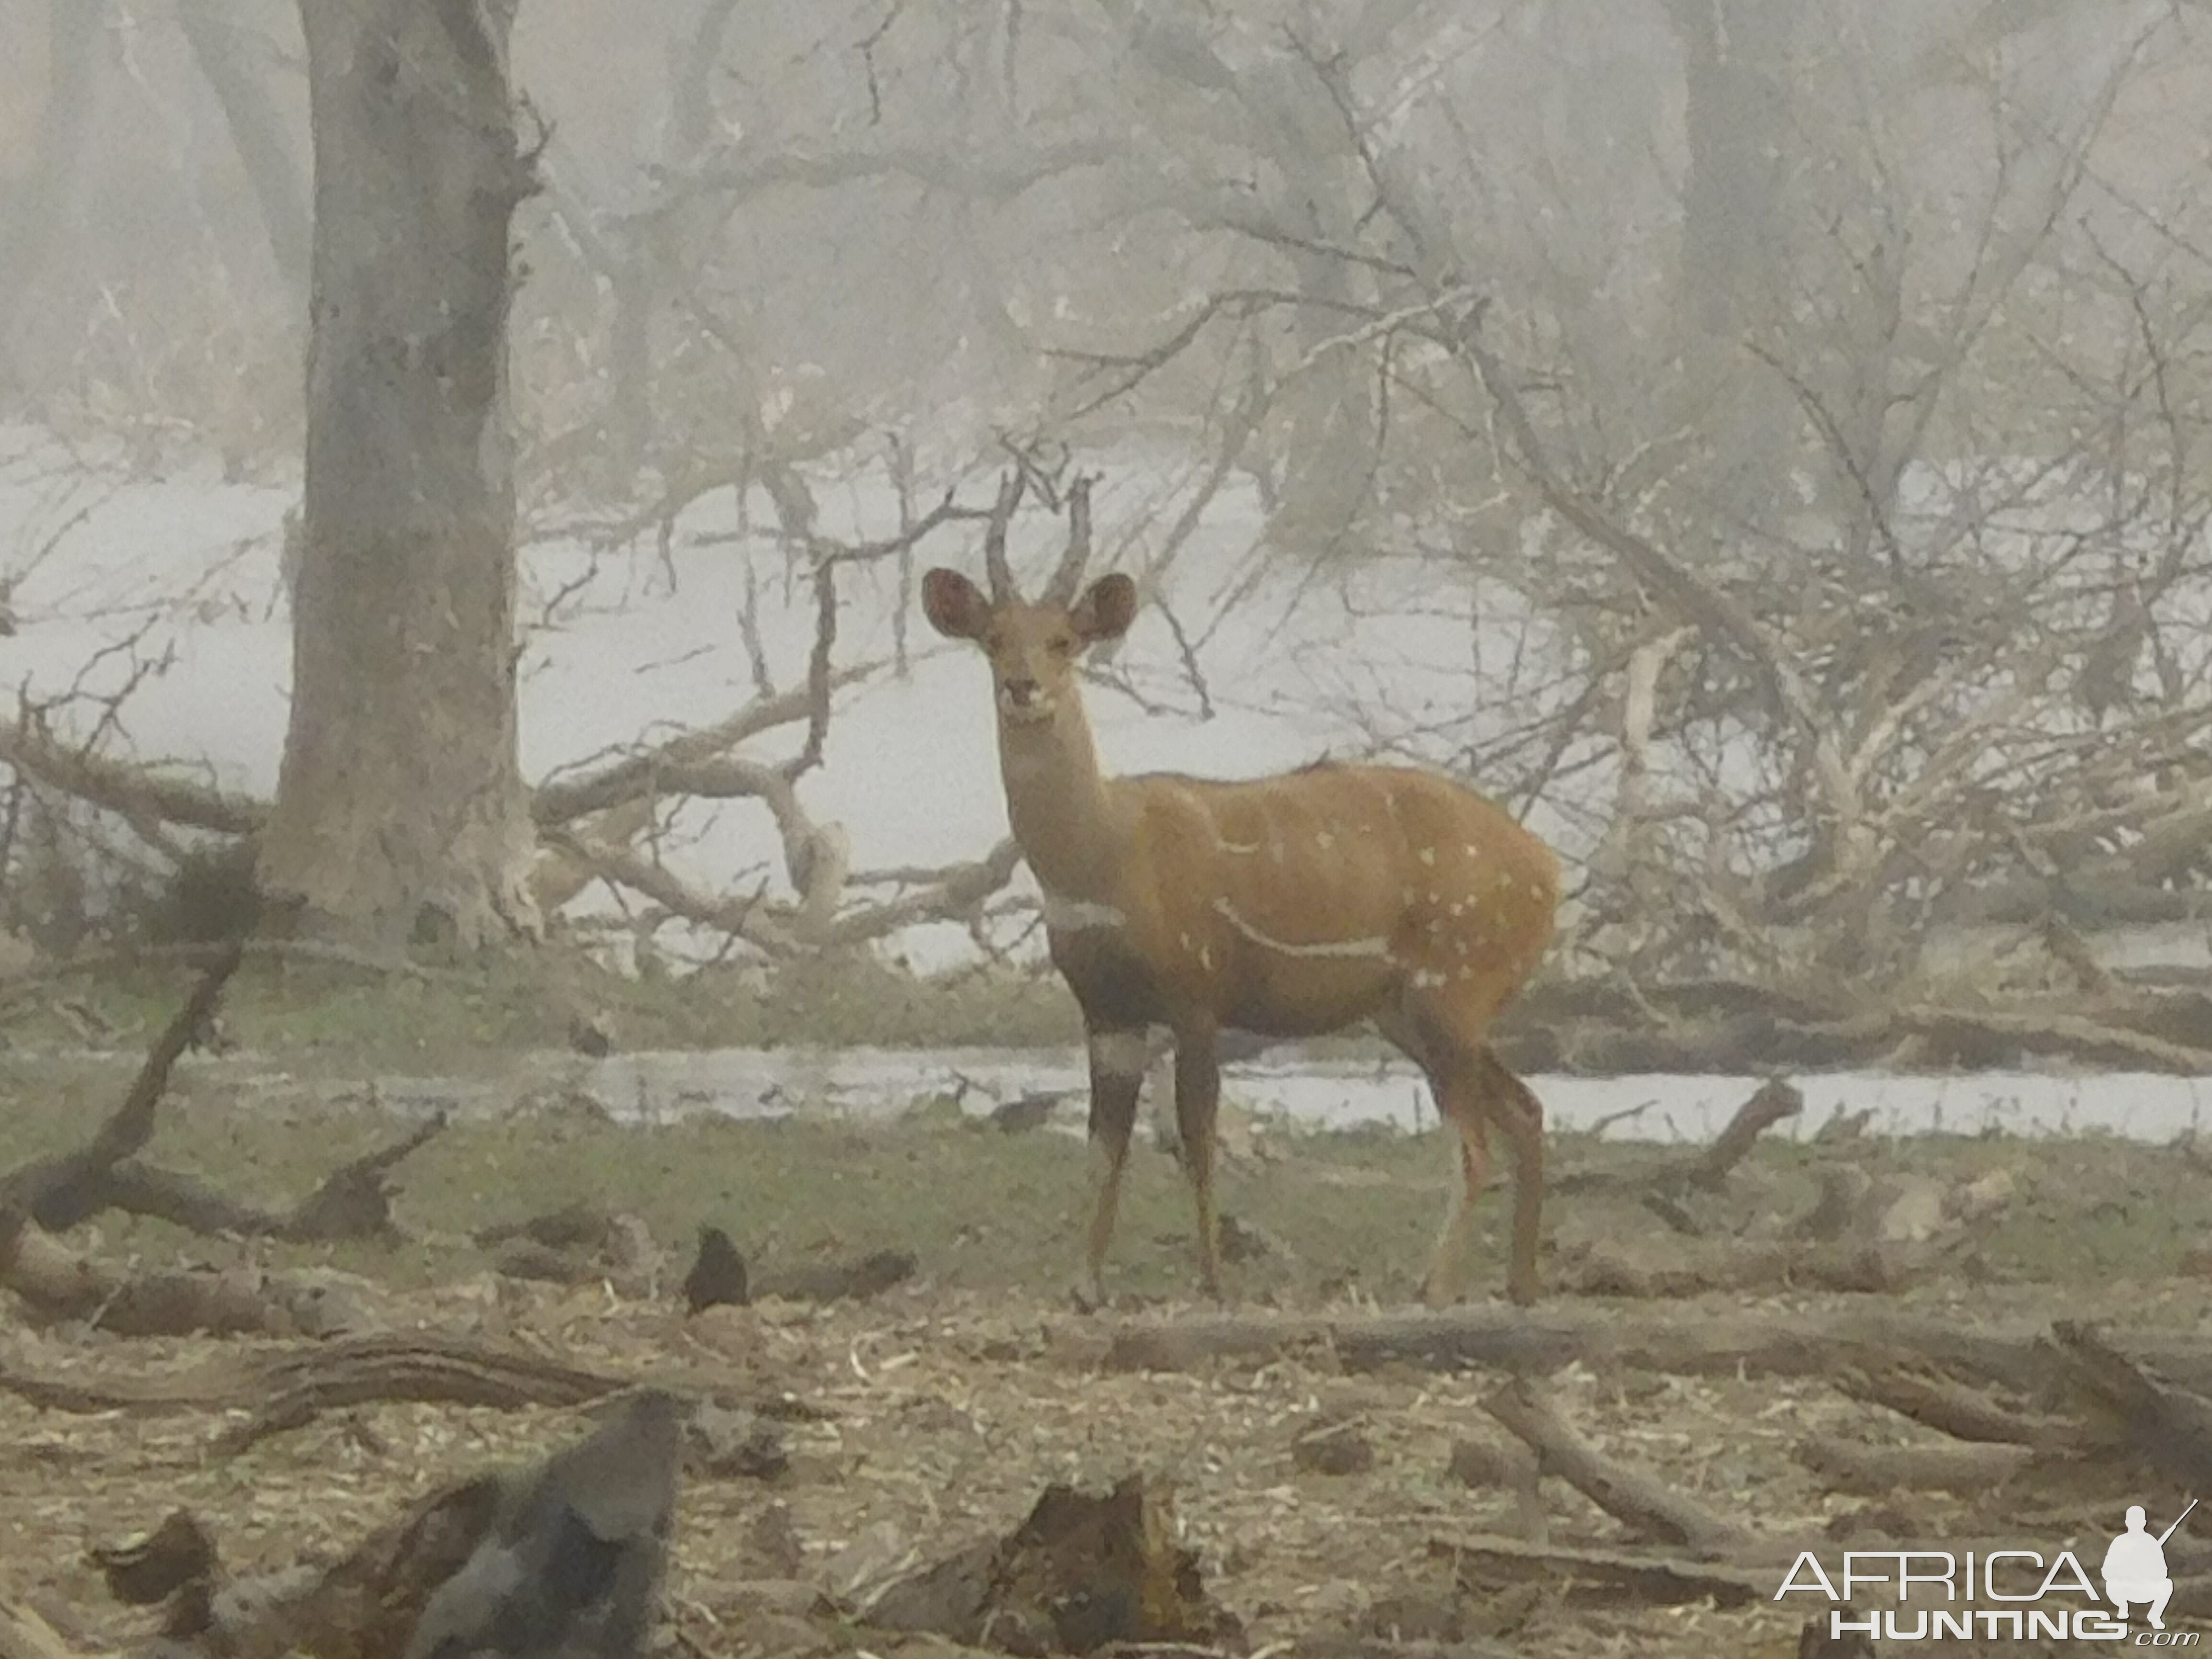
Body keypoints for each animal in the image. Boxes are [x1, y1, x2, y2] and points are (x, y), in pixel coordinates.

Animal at [915, 471, 1557, 1309]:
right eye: (994, 638)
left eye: (1063, 640)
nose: (1023, 688)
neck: (1102, 854)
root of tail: (1551, 871)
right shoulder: (1105, 1009)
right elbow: (1104, 1146)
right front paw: (1084, 1285)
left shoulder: (1196, 990)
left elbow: (1196, 1136)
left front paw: (1212, 1281)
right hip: (1407, 1009)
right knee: (1525, 1109)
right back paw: (1518, 1286)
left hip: (1452, 985)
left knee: (1476, 1138)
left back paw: (1433, 1286)